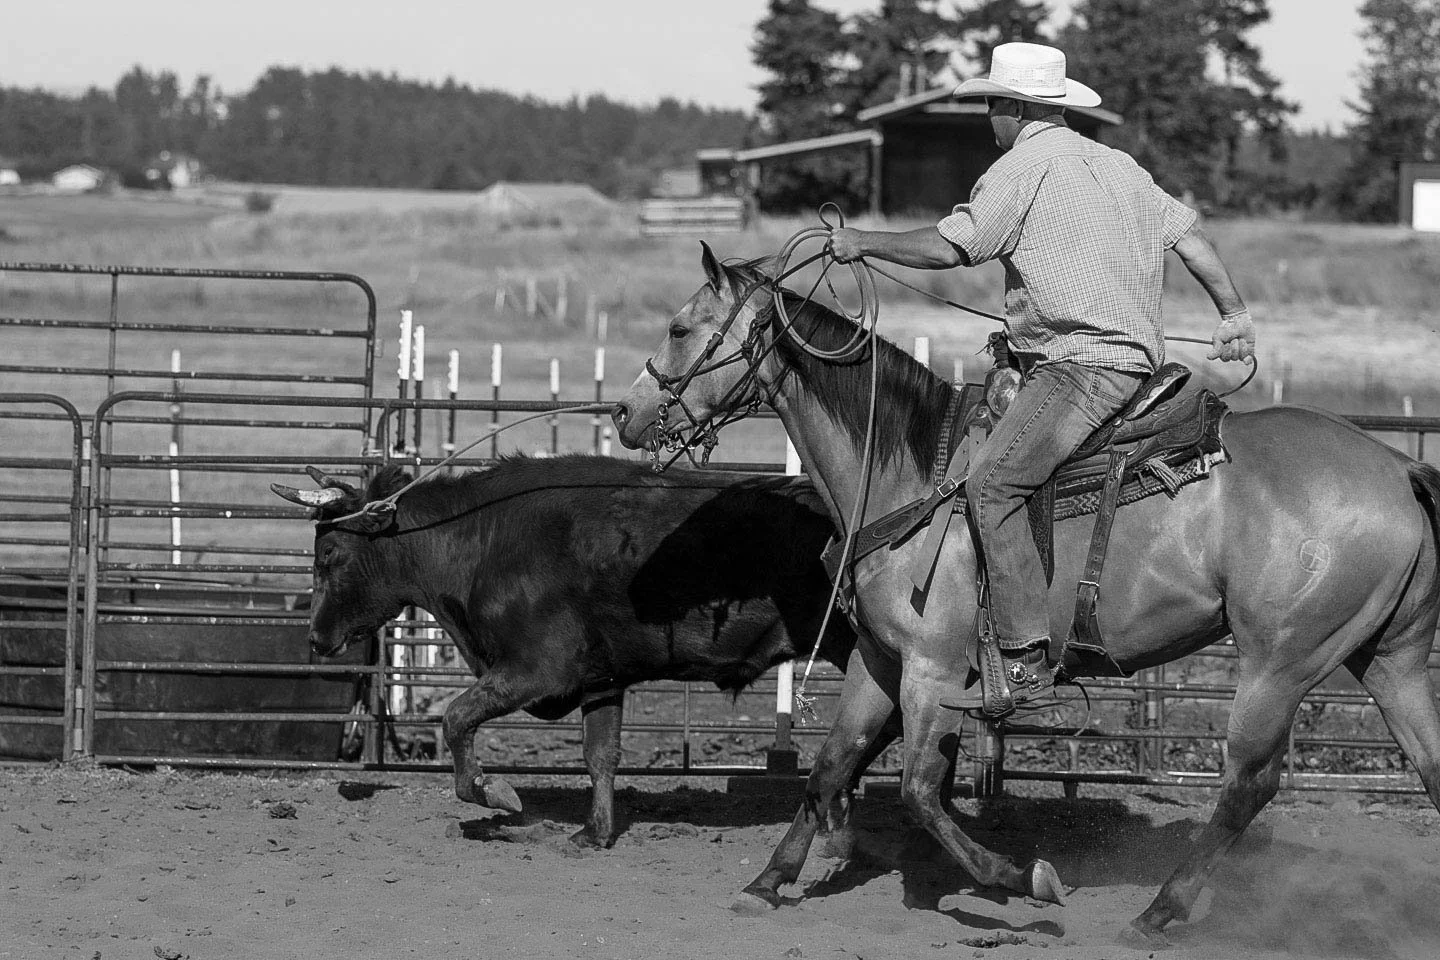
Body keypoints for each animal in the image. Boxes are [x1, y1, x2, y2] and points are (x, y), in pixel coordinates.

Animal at [272, 455, 868, 847]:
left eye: (330, 552)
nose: (314, 637)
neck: (482, 540)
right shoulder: (602, 680)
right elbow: (599, 754)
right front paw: (595, 832)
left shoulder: (537, 671)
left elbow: (457, 718)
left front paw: (496, 793)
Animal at [610, 243, 1440, 945]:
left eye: (681, 326)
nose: (627, 413)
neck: (908, 473)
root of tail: (1399, 468)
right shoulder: (881, 662)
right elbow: (830, 767)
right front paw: (767, 881)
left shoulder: (935, 671)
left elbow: (917, 790)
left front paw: (1024, 880)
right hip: (1389, 660)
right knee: (1428, 766)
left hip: (1279, 663)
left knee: (1247, 785)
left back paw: (1157, 911)